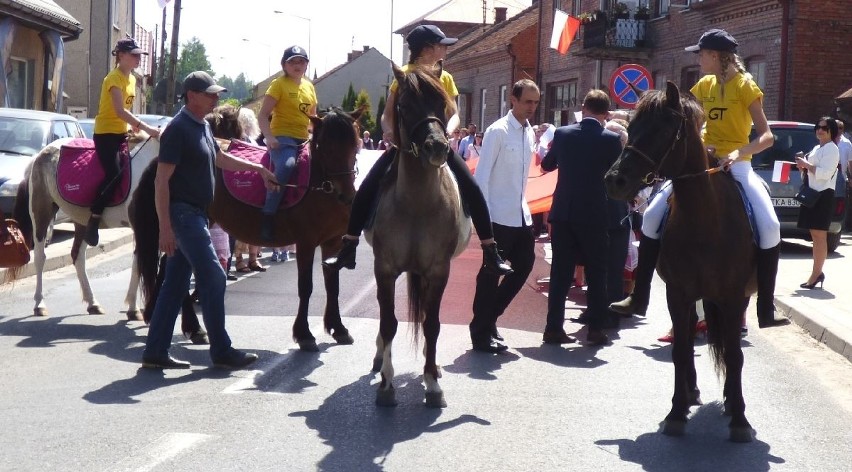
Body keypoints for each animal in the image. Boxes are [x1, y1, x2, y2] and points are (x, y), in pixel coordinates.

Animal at [12, 131, 160, 318]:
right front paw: (133, 309)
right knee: (40, 257)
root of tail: (40, 155)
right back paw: (39, 304)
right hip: (41, 214)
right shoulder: (143, 228)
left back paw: (92, 303)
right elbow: (138, 264)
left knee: (77, 257)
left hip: (81, 220)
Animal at [131, 105, 362, 352]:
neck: (318, 187)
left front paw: (338, 328)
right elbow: (306, 287)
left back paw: (178, 323)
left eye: (354, 144)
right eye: (325, 147)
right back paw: (193, 327)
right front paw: (304, 334)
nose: (347, 195)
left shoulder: (332, 243)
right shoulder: (306, 244)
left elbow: (333, 286)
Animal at [366, 64, 472, 408]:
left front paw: (432, 385)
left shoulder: (438, 270)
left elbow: (432, 324)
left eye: (443, 104)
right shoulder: (384, 269)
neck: (416, 203)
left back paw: (433, 366)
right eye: (403, 105)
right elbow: (388, 323)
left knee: (427, 316)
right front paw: (386, 385)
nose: (437, 147)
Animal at [604, 82, 756, 442]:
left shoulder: (733, 298)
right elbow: (680, 350)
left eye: (661, 130)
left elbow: (735, 353)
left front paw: (739, 418)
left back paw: (726, 399)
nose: (614, 180)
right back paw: (690, 393)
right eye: (631, 126)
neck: (705, 220)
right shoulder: (678, 293)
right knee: (687, 340)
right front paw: (676, 412)